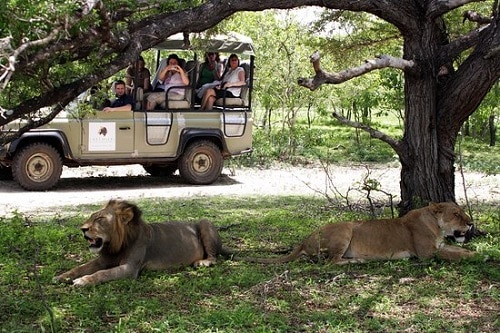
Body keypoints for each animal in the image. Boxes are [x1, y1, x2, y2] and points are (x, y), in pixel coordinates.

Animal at [54, 198, 229, 284]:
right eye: (91, 217)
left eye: (100, 219)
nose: (82, 229)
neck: (116, 246)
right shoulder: (102, 260)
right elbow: (79, 268)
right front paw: (61, 277)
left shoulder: (130, 268)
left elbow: (103, 273)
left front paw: (83, 281)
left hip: (205, 222)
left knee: (214, 257)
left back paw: (203, 262)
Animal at [240, 201, 474, 264]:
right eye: (457, 214)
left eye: (462, 211)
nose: (471, 224)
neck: (436, 227)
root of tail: (305, 239)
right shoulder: (426, 254)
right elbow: (453, 255)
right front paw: (475, 256)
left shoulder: (440, 246)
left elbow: (456, 250)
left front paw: (473, 253)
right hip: (345, 229)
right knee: (330, 262)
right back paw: (358, 261)